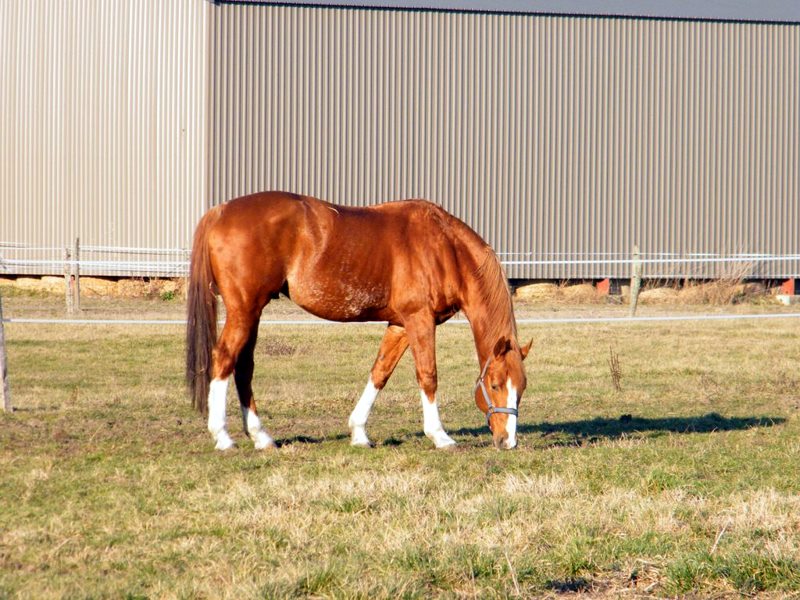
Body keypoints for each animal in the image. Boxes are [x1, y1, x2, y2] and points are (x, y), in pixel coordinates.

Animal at [187, 192, 532, 450]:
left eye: (522, 388)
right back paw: (222, 436)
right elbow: (428, 375)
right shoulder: (419, 320)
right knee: (224, 358)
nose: (507, 441)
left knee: (243, 367)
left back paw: (261, 437)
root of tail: (219, 211)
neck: (446, 248)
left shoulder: (400, 325)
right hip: (244, 310)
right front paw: (440, 436)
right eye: (495, 384)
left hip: (253, 312)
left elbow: (380, 372)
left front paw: (359, 432)